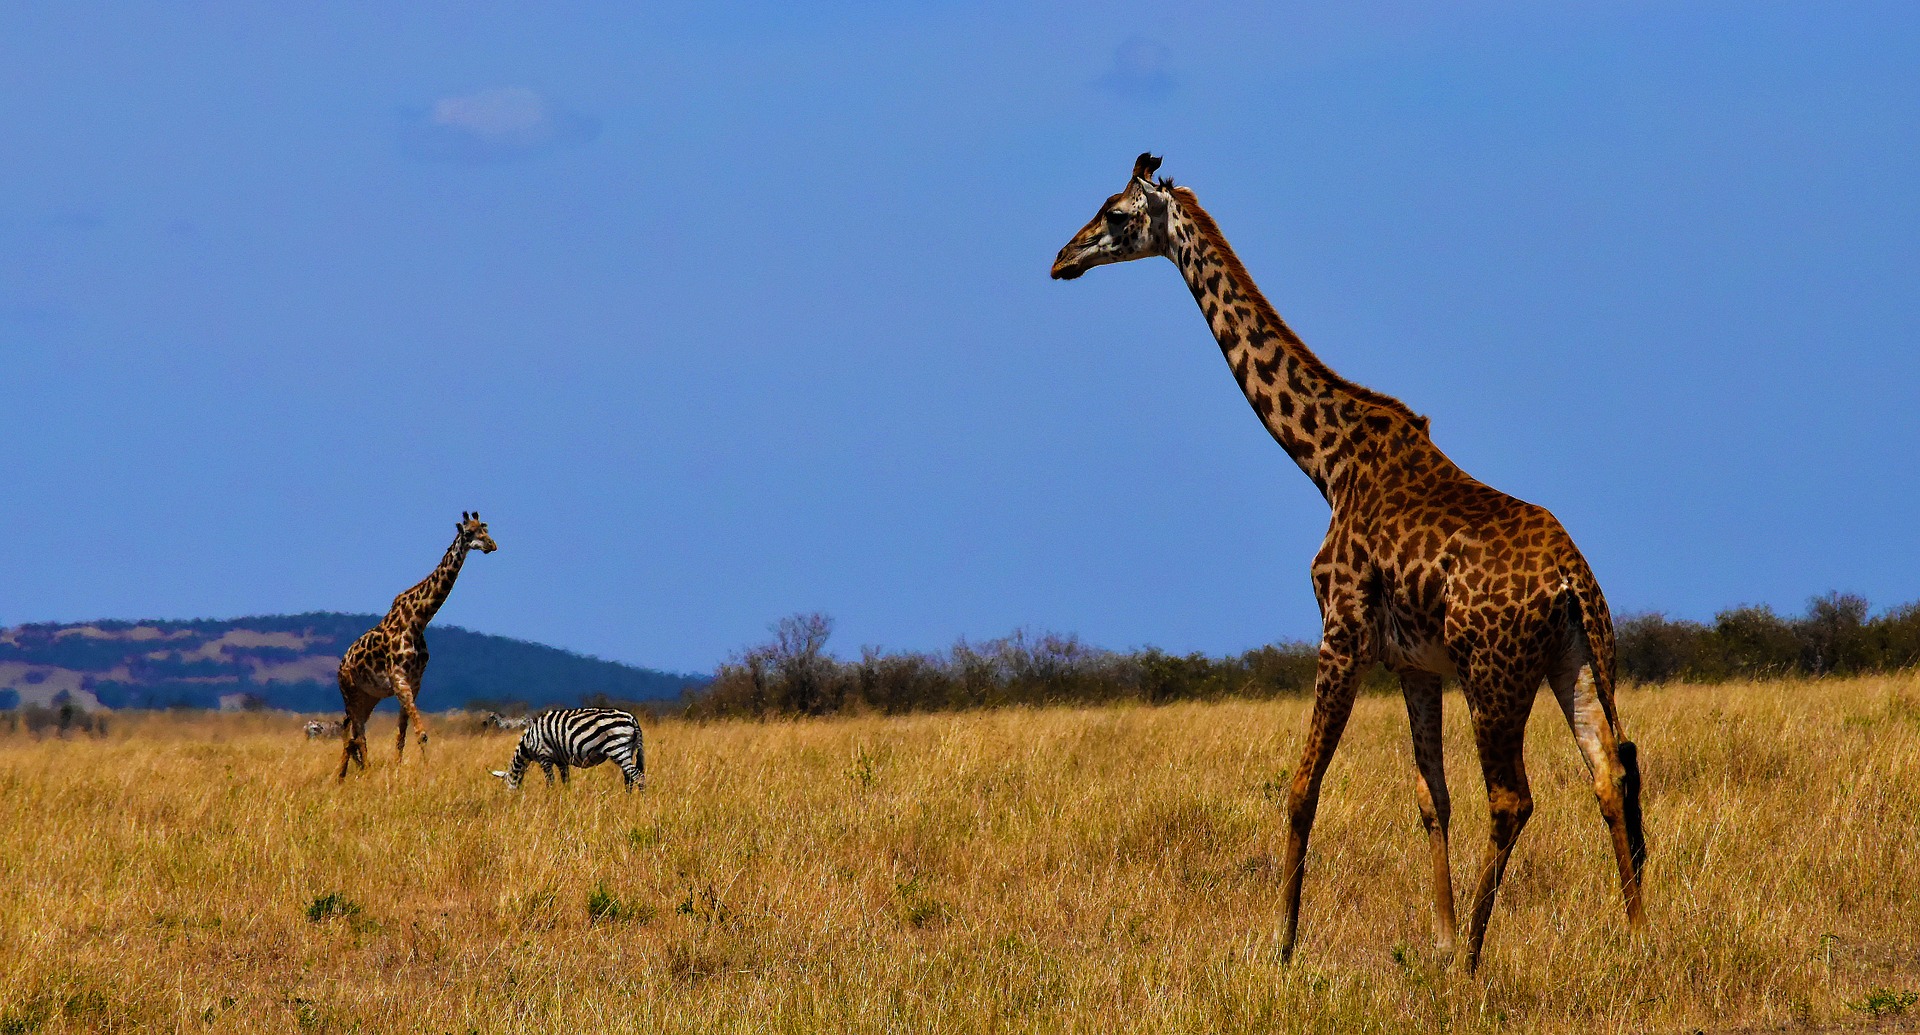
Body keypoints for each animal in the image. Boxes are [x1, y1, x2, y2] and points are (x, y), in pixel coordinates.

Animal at [339, 514, 503, 783]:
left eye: (485, 528)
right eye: (469, 533)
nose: (492, 545)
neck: (418, 620)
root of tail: (341, 664)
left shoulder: (415, 682)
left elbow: (402, 735)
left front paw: (397, 770)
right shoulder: (399, 680)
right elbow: (421, 733)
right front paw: (428, 774)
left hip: (368, 696)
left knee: (350, 734)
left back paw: (343, 777)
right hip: (350, 692)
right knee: (358, 734)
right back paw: (365, 771)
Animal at [491, 714, 648, 794]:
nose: (511, 804)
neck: (528, 743)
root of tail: (632, 719)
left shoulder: (544, 756)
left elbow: (550, 782)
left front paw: (550, 799)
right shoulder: (561, 761)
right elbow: (566, 781)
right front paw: (566, 799)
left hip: (618, 749)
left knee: (638, 777)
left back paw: (641, 803)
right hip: (628, 750)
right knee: (629, 778)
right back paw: (627, 800)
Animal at [1052, 153, 1651, 971]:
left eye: (1114, 214)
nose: (1061, 259)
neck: (1327, 460)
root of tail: (1571, 580)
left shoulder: (1339, 634)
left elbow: (1302, 787)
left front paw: (1281, 943)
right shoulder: (1414, 663)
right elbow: (1431, 797)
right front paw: (1434, 937)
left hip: (1495, 673)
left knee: (1514, 795)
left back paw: (1474, 959)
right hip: (1579, 657)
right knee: (1609, 771)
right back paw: (1638, 940)